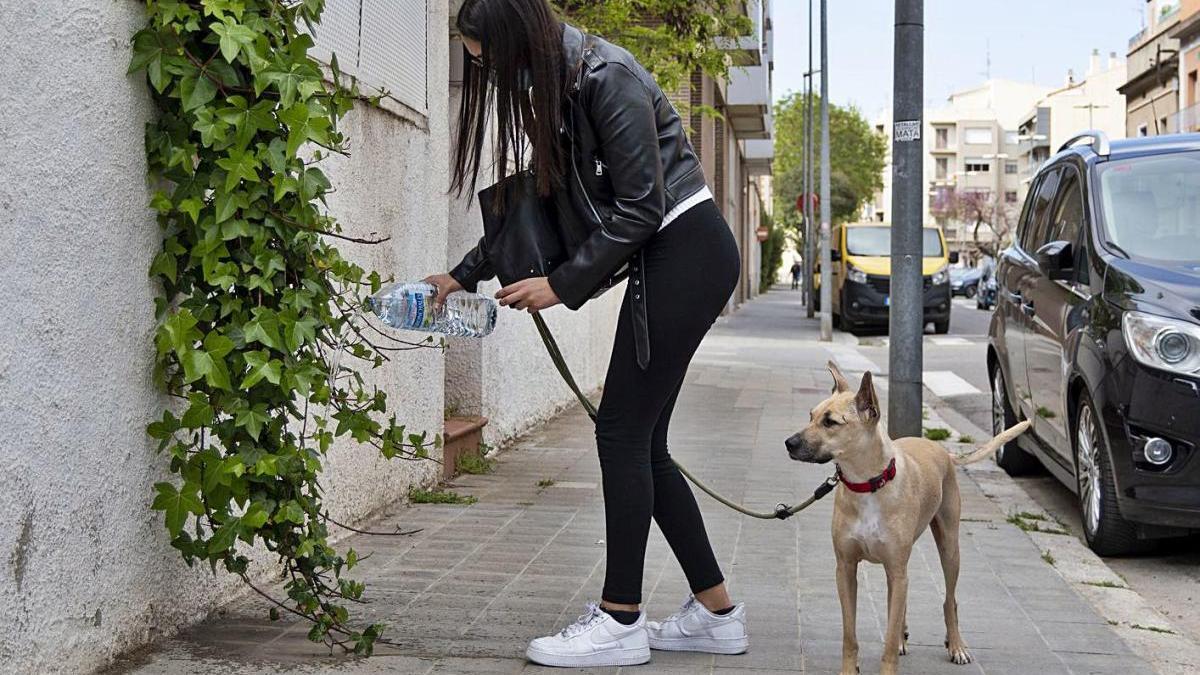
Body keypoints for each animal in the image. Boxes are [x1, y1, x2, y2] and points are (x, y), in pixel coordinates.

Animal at [787, 362, 1032, 672]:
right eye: (811, 416)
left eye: (830, 422)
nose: (789, 443)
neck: (867, 484)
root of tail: (942, 449)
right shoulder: (845, 569)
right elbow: (850, 634)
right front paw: (849, 669)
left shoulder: (896, 566)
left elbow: (889, 641)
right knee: (900, 600)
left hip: (949, 547)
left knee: (949, 599)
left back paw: (956, 646)